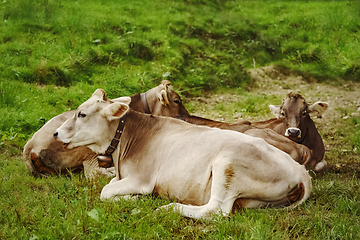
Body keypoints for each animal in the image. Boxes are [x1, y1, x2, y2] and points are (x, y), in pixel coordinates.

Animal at [53, 88, 312, 219]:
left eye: (81, 114)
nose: (55, 133)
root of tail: (301, 171)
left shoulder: (141, 179)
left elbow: (105, 192)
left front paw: (137, 199)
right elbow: (107, 188)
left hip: (227, 165)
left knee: (216, 211)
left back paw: (169, 207)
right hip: (252, 200)